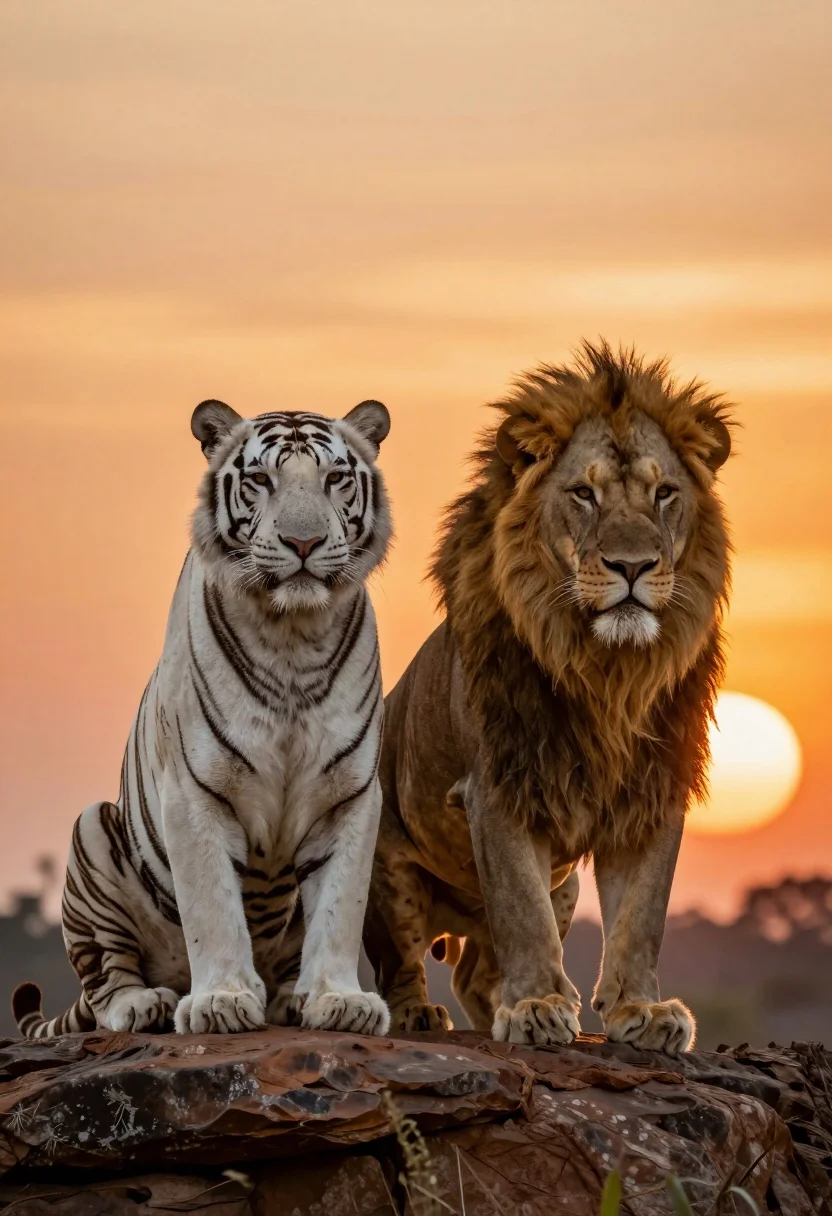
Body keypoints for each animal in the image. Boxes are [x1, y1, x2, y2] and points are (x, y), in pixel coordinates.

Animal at [13, 397, 393, 1038]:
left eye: (334, 479)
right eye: (261, 479)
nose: (304, 542)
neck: (292, 637)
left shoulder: (351, 795)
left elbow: (341, 906)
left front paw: (339, 1000)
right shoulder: (194, 790)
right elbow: (213, 906)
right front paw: (221, 1001)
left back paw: (287, 998)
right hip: (91, 832)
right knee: (106, 977)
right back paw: (145, 1004)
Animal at [364, 342, 733, 1055]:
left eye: (664, 494)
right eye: (583, 494)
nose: (632, 567)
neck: (607, 670)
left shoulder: (652, 790)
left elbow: (641, 915)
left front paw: (640, 1010)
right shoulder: (500, 783)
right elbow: (520, 909)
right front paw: (536, 1005)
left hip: (565, 887)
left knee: (477, 972)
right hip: (385, 871)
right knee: (399, 962)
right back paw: (418, 1014)